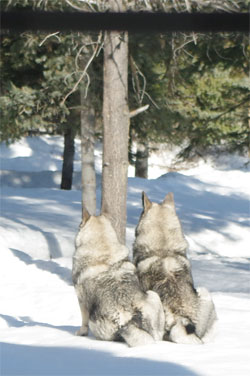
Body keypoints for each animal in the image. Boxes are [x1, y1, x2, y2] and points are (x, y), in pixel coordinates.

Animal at [73, 209, 164, 346]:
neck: (103, 249)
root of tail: (129, 321)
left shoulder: (81, 299)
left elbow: (83, 322)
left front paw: (80, 333)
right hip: (154, 295)